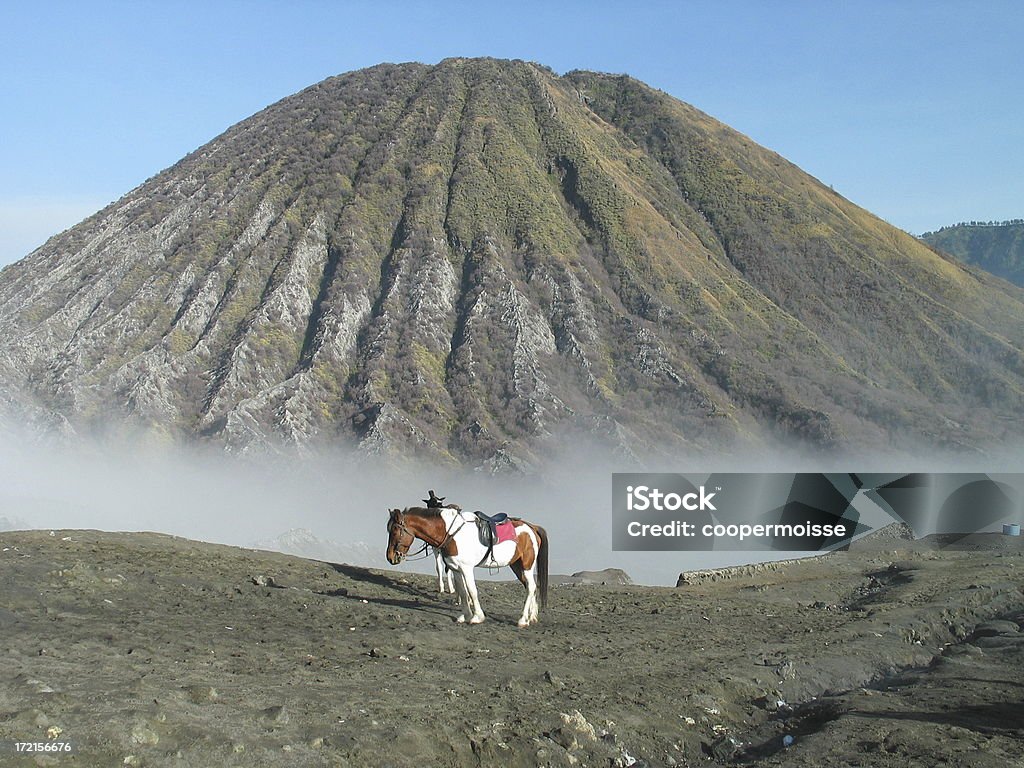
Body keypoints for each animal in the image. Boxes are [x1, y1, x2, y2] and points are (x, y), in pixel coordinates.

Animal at [385, 507, 548, 626]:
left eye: (395, 530)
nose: (390, 557)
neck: (452, 533)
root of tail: (531, 527)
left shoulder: (467, 569)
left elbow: (472, 591)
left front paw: (477, 617)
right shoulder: (456, 569)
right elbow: (463, 592)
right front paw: (465, 615)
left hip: (526, 565)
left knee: (531, 587)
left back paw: (523, 620)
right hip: (516, 566)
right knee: (530, 587)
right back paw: (532, 617)